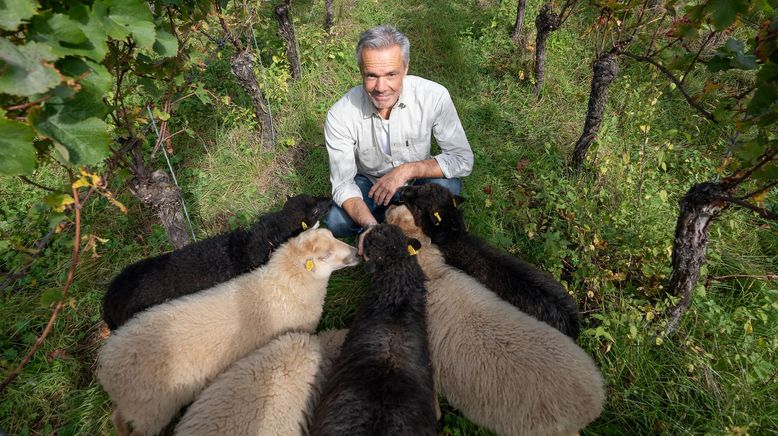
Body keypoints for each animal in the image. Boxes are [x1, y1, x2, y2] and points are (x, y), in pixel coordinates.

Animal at [98, 225, 360, 436]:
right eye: (324, 255)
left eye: (333, 235)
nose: (357, 253)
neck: (284, 287)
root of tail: (106, 369)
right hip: (152, 411)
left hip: (135, 407)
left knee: (117, 417)